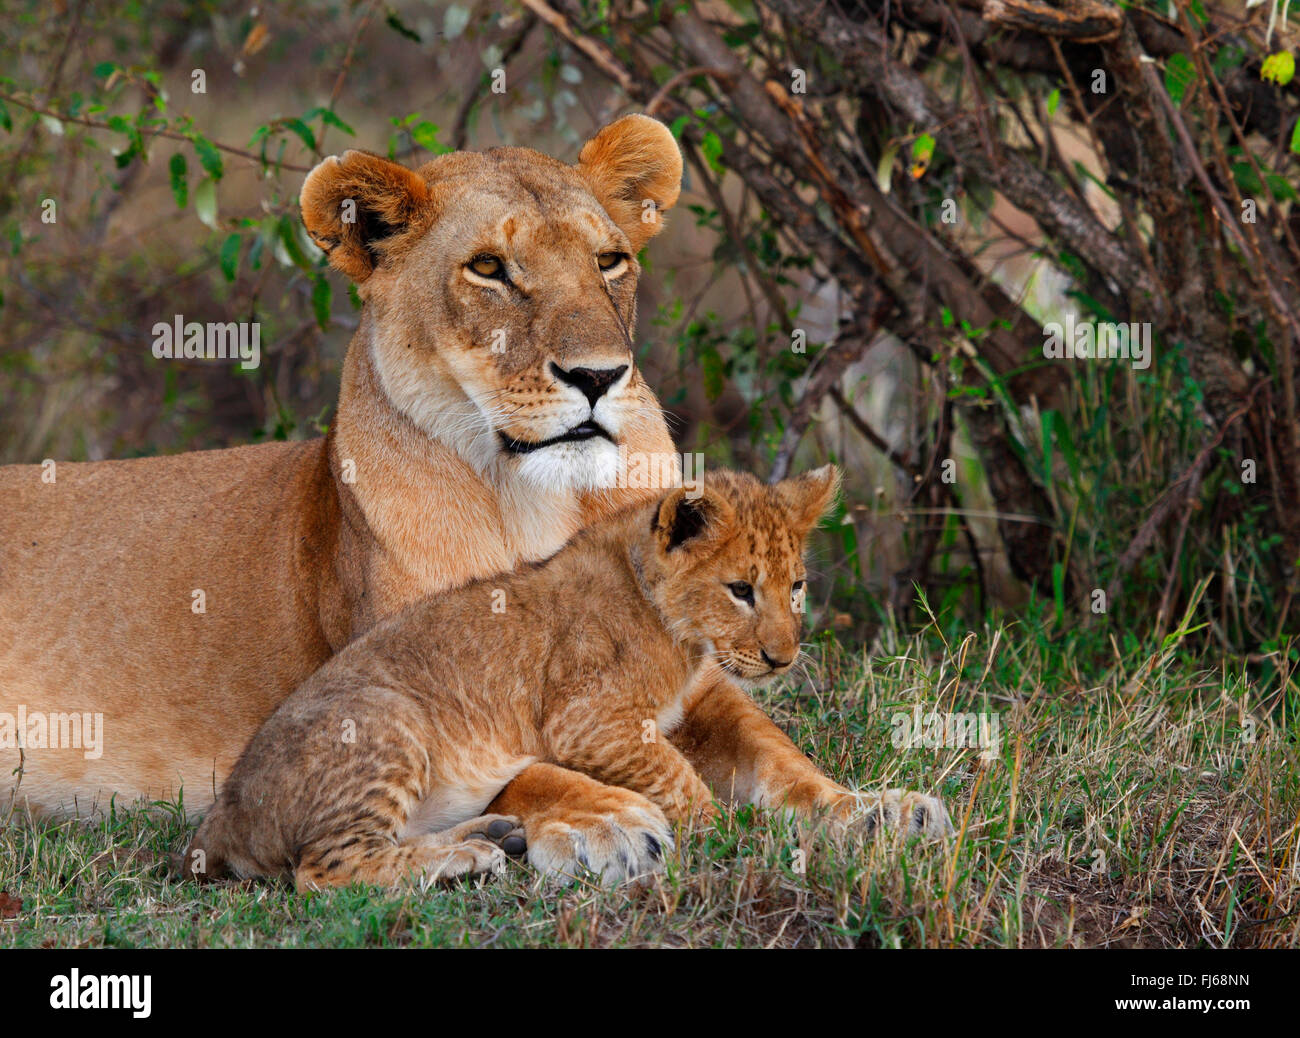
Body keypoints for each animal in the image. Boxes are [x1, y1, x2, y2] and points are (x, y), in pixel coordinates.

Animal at [0, 115, 947, 877]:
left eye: (610, 260)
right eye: (489, 268)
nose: (599, 376)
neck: (538, 500)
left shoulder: (705, 675)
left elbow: (774, 750)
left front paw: (872, 811)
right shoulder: (405, 678)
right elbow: (526, 767)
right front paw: (606, 825)